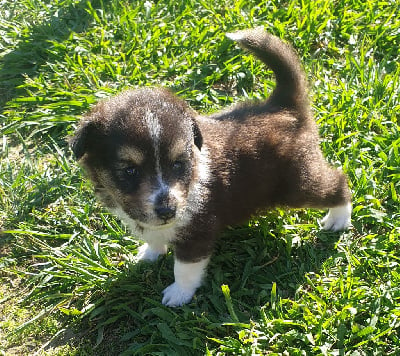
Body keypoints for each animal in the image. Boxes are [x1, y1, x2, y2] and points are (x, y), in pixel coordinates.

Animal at [70, 28, 352, 306]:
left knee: (338, 182)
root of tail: (282, 106)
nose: (168, 211)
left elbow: (184, 269)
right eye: (130, 170)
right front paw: (148, 255)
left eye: (178, 164)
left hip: (297, 184)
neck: (193, 174)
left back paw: (338, 219)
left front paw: (178, 295)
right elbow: (154, 239)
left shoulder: (197, 233)